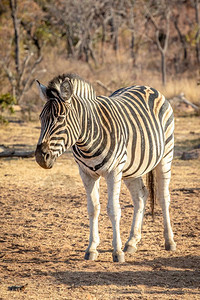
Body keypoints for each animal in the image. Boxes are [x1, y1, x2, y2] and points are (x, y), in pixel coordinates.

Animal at [35, 73, 176, 262]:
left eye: (60, 118)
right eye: (40, 118)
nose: (40, 156)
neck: (88, 138)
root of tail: (147, 87)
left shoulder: (113, 171)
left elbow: (113, 210)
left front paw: (117, 252)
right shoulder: (86, 174)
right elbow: (93, 209)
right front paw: (92, 248)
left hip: (165, 155)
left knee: (163, 197)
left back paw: (169, 241)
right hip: (132, 168)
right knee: (140, 196)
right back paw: (132, 241)